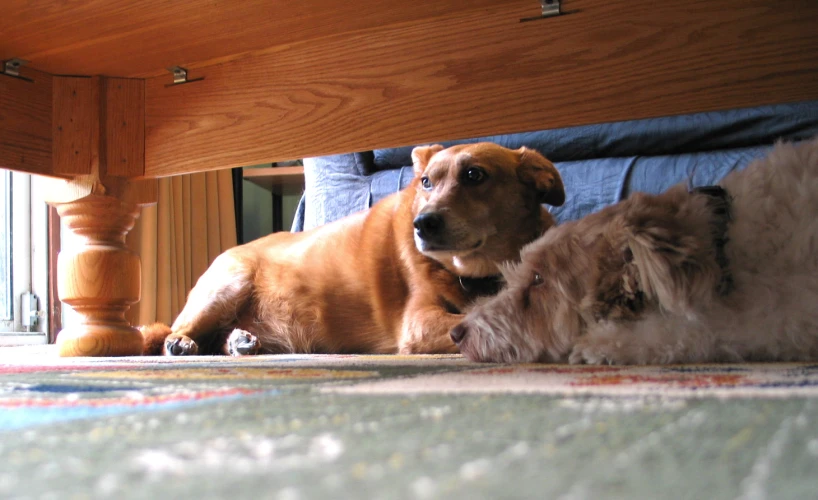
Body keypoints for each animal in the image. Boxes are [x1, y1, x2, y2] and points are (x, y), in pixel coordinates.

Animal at [140, 143, 560, 358]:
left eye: (475, 175)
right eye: (426, 182)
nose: (421, 224)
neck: (475, 273)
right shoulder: (419, 322)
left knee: (219, 338)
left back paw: (240, 341)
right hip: (229, 283)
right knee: (174, 331)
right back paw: (182, 342)